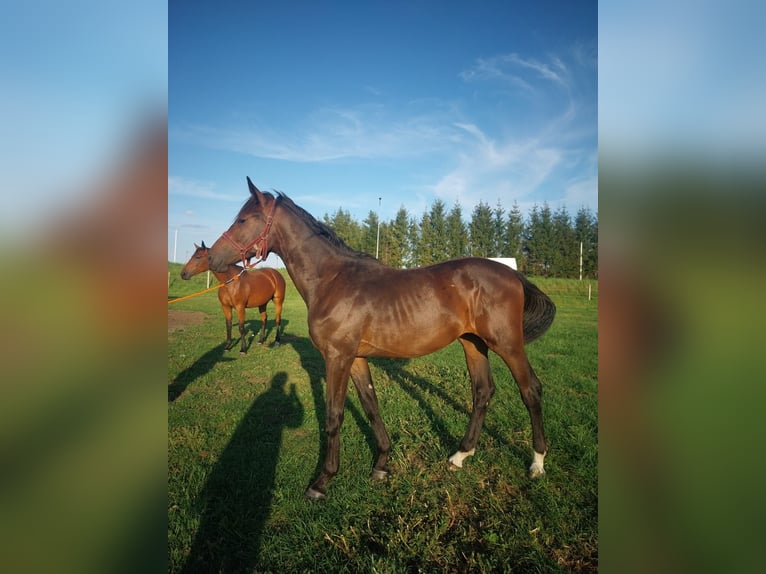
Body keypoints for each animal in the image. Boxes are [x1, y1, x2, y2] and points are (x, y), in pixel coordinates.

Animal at [208, 178, 556, 500]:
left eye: (243, 220)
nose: (212, 258)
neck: (331, 280)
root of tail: (512, 274)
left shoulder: (337, 358)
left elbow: (334, 415)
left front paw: (322, 481)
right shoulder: (357, 358)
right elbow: (371, 405)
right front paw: (381, 464)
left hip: (507, 344)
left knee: (531, 390)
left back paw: (537, 463)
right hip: (473, 343)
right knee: (482, 392)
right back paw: (460, 455)